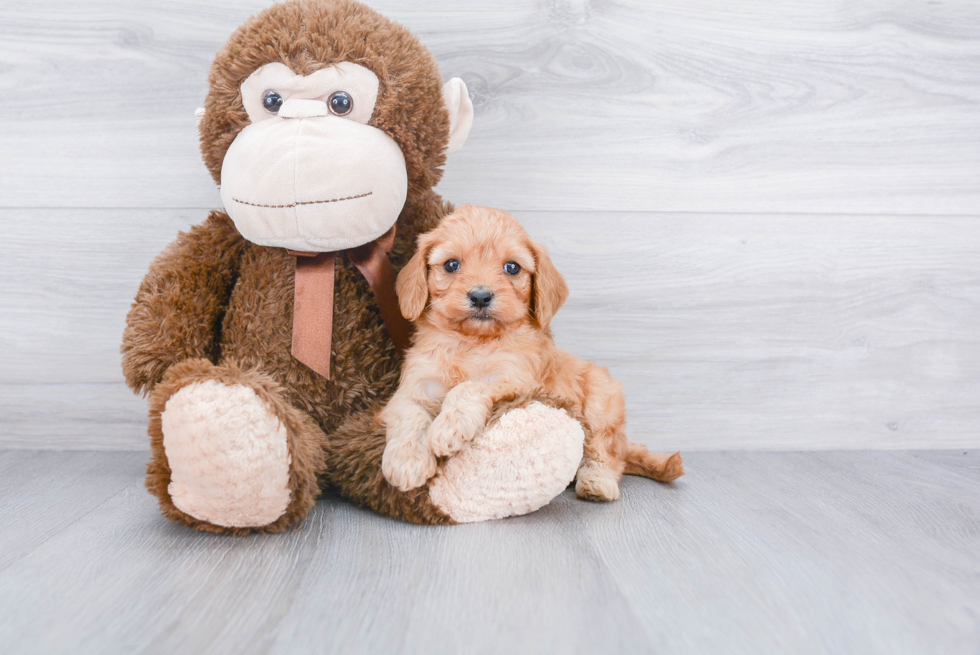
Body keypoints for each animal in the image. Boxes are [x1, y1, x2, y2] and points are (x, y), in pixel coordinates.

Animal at [378, 206, 684, 502]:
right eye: (451, 264)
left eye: (512, 267)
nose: (480, 296)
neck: (472, 342)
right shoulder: (415, 386)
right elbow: (410, 415)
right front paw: (407, 462)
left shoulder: (516, 379)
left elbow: (468, 387)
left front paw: (448, 427)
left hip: (602, 403)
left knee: (605, 453)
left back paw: (597, 482)